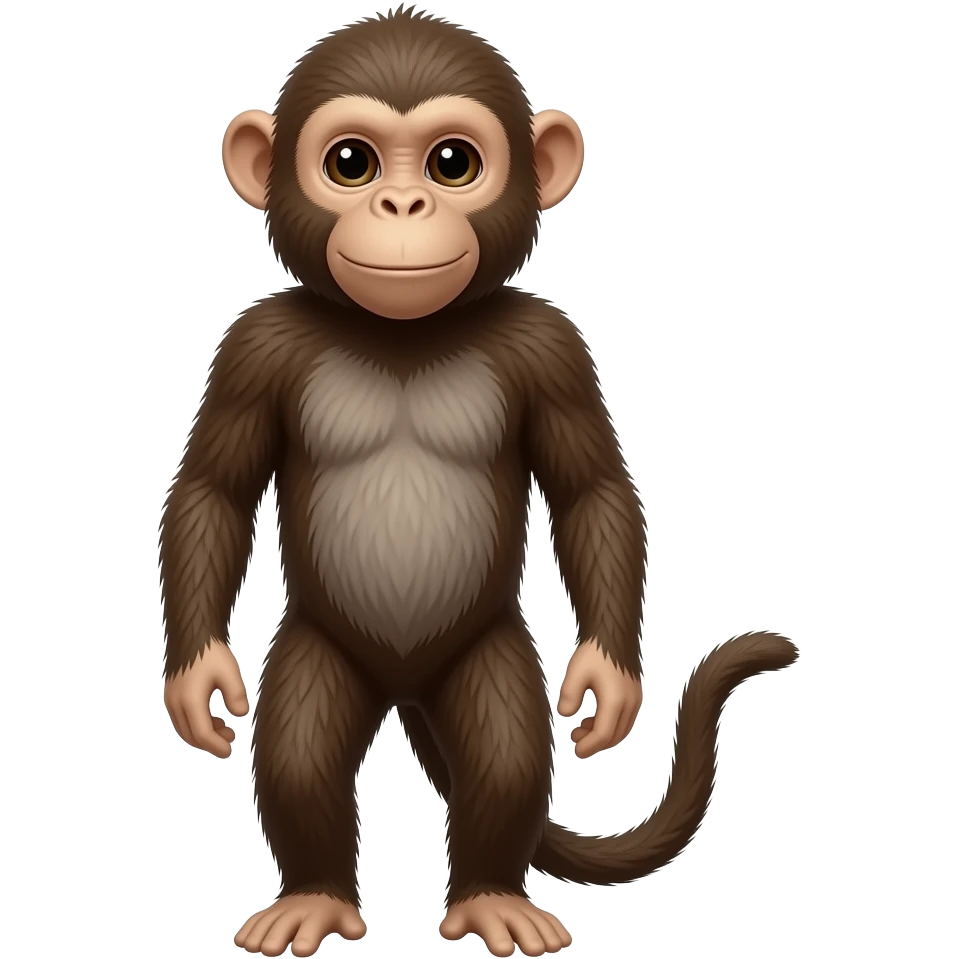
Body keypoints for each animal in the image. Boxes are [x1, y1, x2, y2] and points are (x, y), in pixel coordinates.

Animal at [159, 8, 799, 958]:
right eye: (350, 162)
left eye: (451, 162)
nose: (402, 206)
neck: (403, 333)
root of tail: (405, 685)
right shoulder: (253, 347)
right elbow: (214, 489)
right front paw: (197, 677)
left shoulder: (552, 346)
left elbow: (590, 489)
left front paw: (608, 681)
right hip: (320, 645)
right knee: (300, 748)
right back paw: (313, 896)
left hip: (486, 647)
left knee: (504, 749)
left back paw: (492, 896)